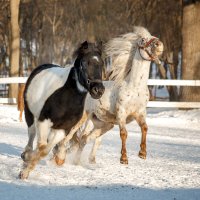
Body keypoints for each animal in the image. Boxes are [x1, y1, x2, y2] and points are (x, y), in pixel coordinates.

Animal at [19, 41, 104, 180]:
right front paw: (25, 170)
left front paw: (27, 167)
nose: (98, 90)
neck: (66, 97)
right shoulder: (43, 121)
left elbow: (45, 150)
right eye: (85, 63)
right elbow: (42, 146)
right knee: (31, 134)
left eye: (101, 63)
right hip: (29, 113)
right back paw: (26, 153)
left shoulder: (63, 129)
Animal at [53, 26, 164, 166]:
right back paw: (58, 157)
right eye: (143, 40)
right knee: (68, 136)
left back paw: (76, 161)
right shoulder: (121, 114)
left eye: (153, 37)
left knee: (83, 139)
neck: (134, 88)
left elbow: (145, 128)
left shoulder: (140, 113)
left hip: (103, 125)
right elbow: (124, 133)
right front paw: (124, 158)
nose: (159, 45)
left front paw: (142, 153)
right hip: (83, 119)